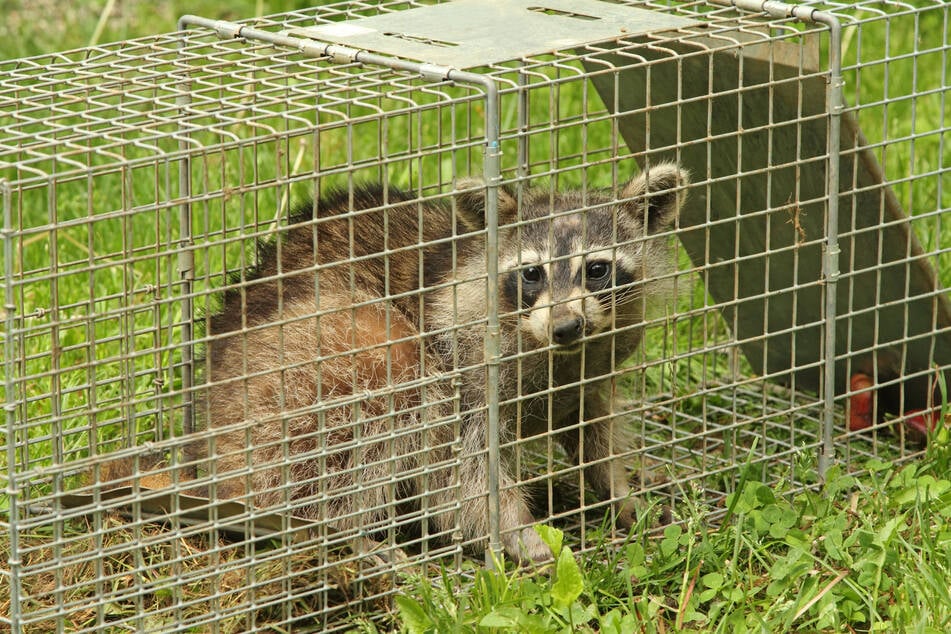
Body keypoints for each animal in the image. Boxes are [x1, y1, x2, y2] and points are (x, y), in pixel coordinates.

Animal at [199, 164, 684, 564]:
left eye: (597, 269)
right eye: (532, 274)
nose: (566, 326)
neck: (553, 353)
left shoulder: (593, 366)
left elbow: (594, 430)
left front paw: (620, 491)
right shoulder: (464, 369)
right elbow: (465, 477)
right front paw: (518, 532)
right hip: (301, 366)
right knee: (379, 386)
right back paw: (340, 531)